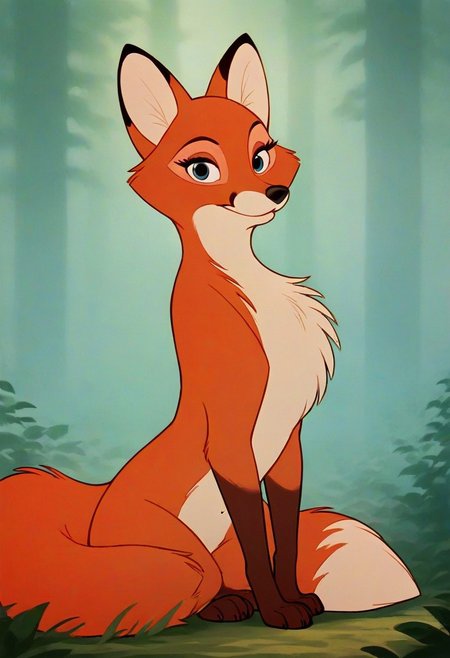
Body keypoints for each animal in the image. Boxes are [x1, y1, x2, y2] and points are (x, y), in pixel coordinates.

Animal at [0, 34, 419, 635]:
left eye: (261, 154)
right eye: (201, 168)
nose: (275, 190)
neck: (252, 288)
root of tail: (94, 506)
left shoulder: (287, 444)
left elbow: (283, 538)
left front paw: (297, 598)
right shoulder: (229, 442)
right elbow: (259, 546)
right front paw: (278, 612)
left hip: (211, 545)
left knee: (230, 568)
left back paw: (236, 598)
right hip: (185, 553)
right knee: (200, 582)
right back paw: (227, 604)